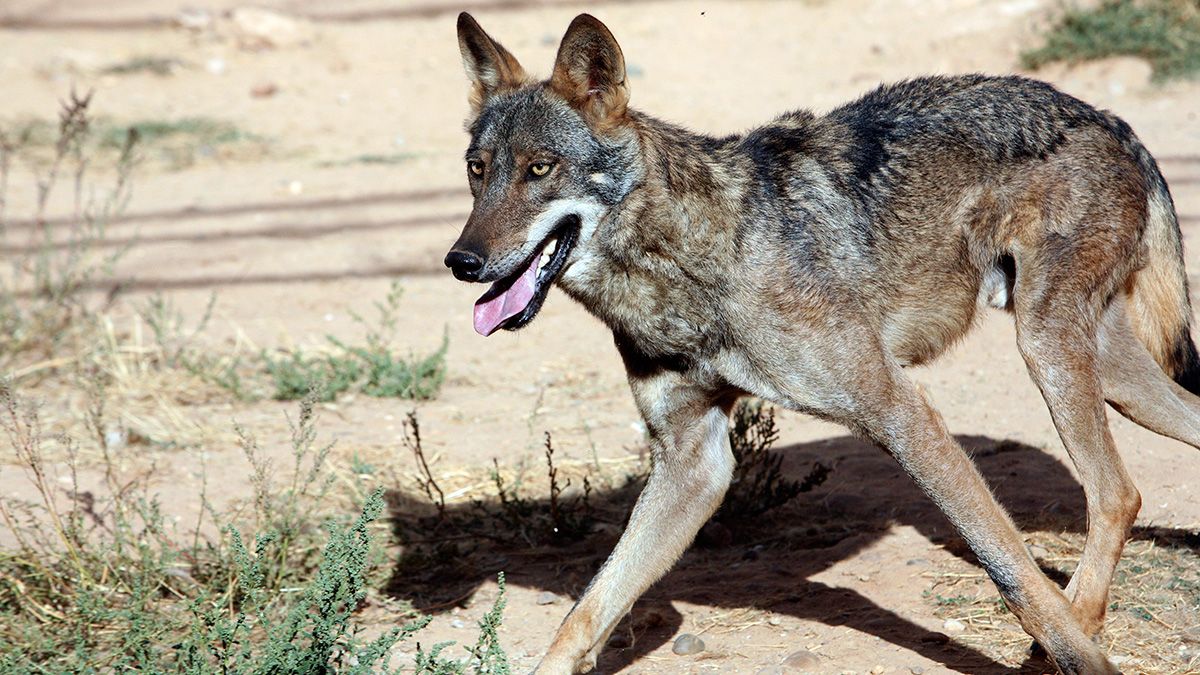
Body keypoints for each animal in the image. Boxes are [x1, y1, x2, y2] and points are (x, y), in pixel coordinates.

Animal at [444, 11, 1200, 672]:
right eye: (478, 169)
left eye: (541, 169)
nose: (462, 262)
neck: (692, 258)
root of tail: (1111, 119)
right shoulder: (694, 460)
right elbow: (586, 612)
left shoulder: (900, 411)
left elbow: (1011, 569)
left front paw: (1080, 658)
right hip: (1108, 374)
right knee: (1141, 473)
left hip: (1048, 351)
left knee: (1114, 493)